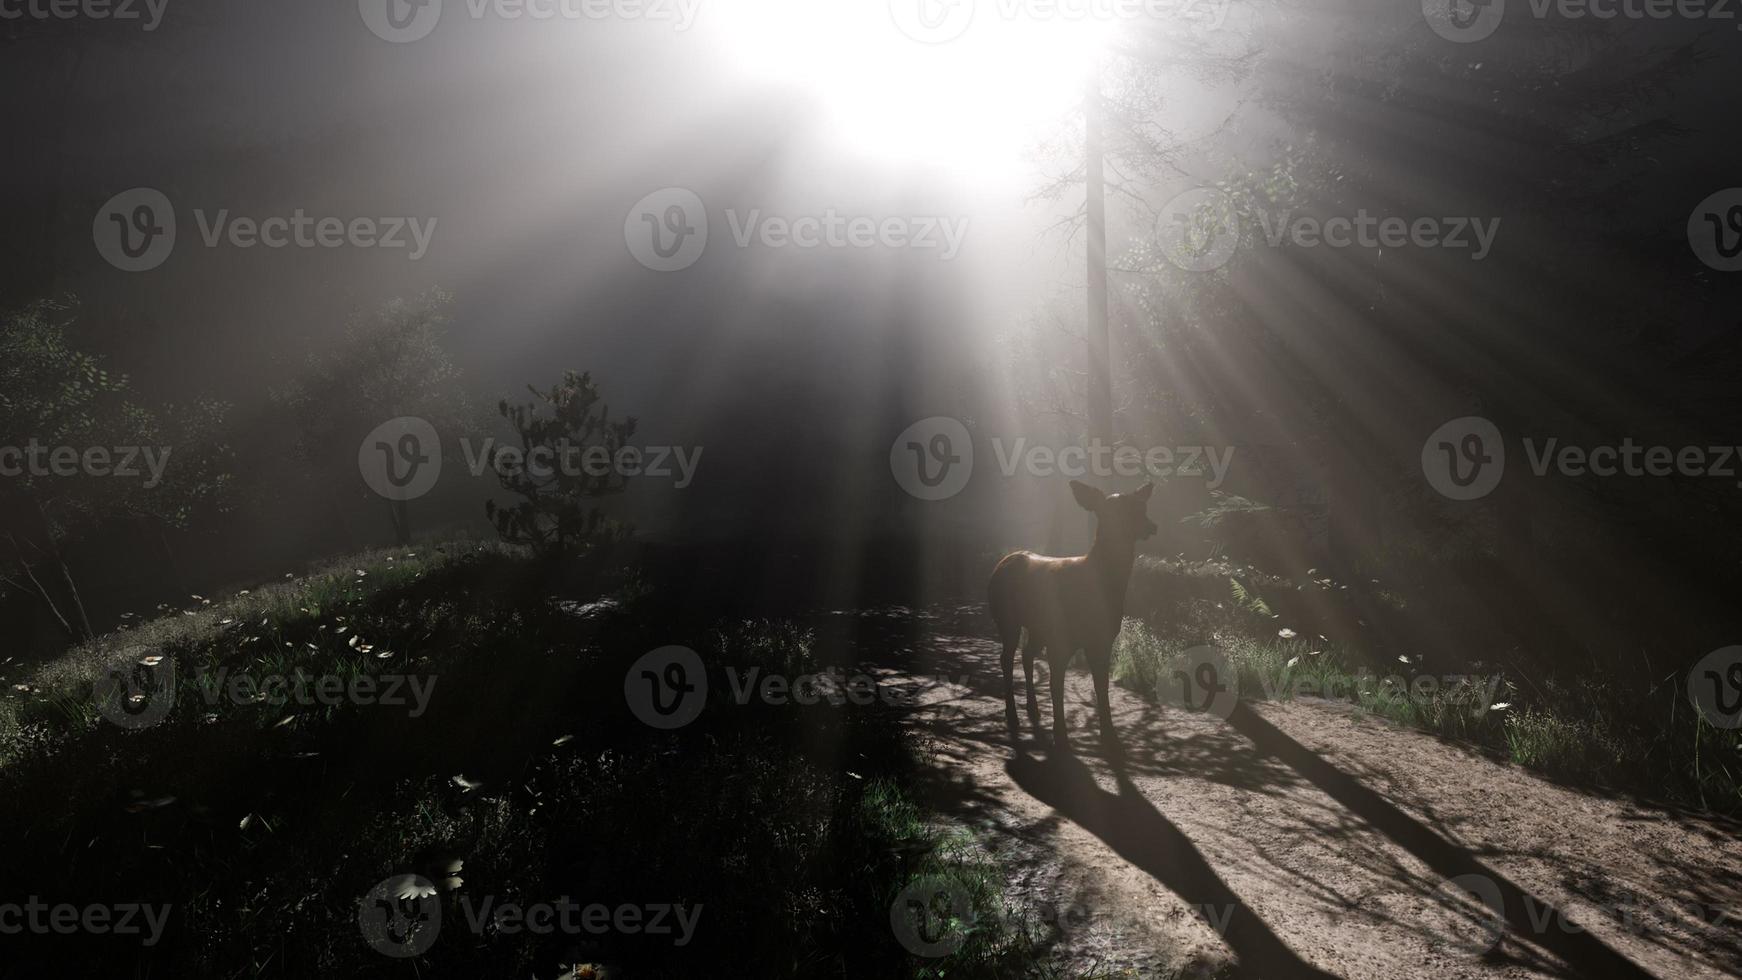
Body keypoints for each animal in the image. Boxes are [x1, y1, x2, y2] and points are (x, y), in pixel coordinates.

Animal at [989, 480, 1149, 751]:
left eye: (1138, 505)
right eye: (1111, 510)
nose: (1150, 525)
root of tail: (1000, 564)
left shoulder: (1103, 639)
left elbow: (1101, 686)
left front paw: (1111, 737)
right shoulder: (1061, 639)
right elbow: (1057, 686)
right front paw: (1061, 737)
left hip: (1038, 626)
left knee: (1026, 653)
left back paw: (1032, 709)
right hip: (1006, 617)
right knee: (1006, 658)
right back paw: (1012, 714)